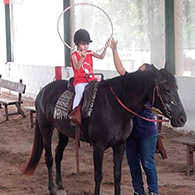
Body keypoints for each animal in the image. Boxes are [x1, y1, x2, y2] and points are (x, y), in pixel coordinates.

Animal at [22, 64, 186, 195]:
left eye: (177, 88)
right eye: (166, 90)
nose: (182, 118)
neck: (114, 106)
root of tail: (43, 91)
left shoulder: (120, 145)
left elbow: (117, 174)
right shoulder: (98, 147)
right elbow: (98, 176)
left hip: (63, 132)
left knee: (58, 155)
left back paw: (60, 185)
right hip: (46, 129)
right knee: (49, 158)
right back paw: (52, 189)